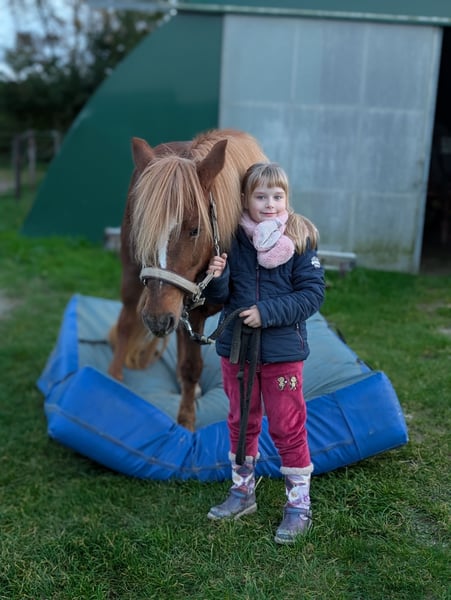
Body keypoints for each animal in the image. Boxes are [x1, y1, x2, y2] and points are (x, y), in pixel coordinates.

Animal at [108, 128, 268, 431]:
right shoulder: (185, 308)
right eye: (144, 228)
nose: (156, 319)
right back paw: (113, 376)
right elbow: (191, 366)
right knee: (125, 322)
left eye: (195, 229)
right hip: (134, 280)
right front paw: (186, 423)